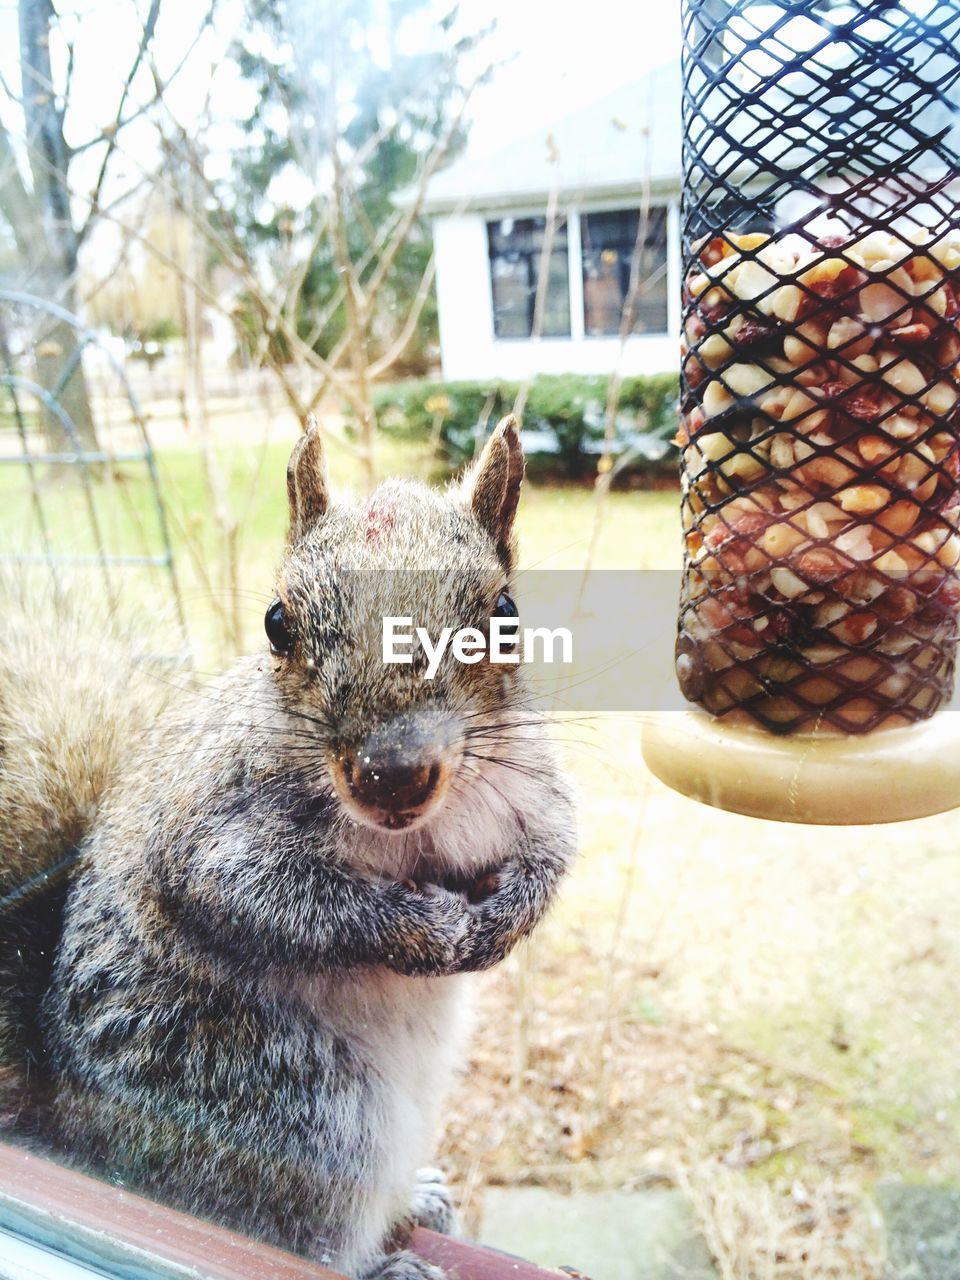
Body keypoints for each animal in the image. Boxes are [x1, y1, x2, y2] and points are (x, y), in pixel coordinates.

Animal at [0, 414, 576, 1274]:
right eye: (278, 621)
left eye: (506, 614)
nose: (392, 775)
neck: (415, 833)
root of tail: (80, 1133)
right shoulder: (208, 830)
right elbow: (268, 896)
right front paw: (422, 931)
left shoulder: (534, 789)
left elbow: (555, 851)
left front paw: (505, 920)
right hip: (294, 1104)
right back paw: (387, 1260)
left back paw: (417, 1201)